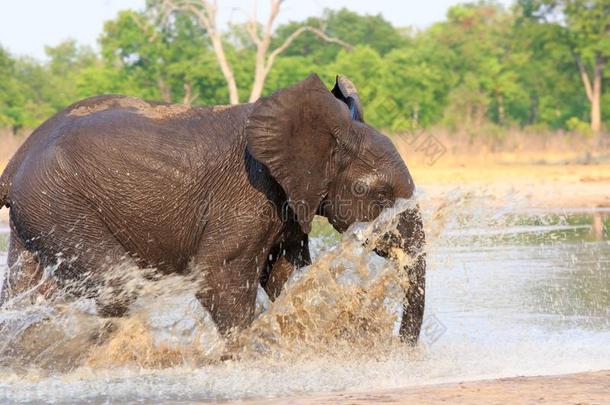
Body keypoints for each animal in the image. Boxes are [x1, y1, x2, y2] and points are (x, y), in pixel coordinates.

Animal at [0, 74, 426, 342]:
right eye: (375, 193)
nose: (397, 347)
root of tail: (14, 164)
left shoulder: (287, 202)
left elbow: (285, 276)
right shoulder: (248, 194)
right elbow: (220, 275)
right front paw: (248, 353)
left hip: (37, 212)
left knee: (29, 287)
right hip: (57, 202)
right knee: (116, 285)